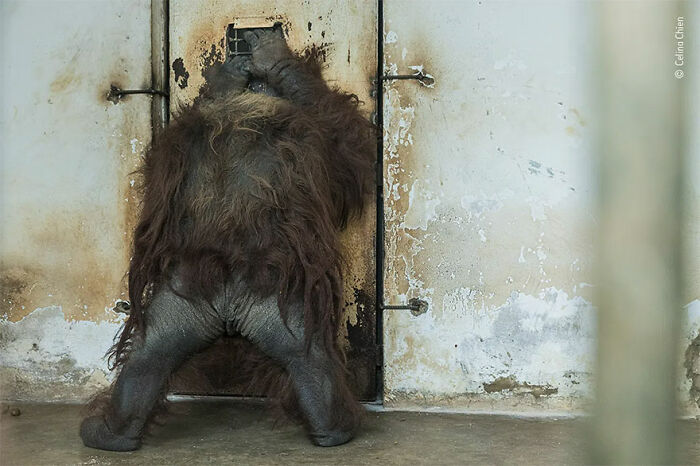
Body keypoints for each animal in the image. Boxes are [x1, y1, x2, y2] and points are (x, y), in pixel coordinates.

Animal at [80, 27, 376, 452]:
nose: (253, 78)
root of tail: (228, 302)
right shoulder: (311, 139)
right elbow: (350, 151)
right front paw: (273, 62)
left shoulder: (172, 147)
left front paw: (233, 76)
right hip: (278, 301)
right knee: (309, 355)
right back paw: (338, 428)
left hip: (185, 302)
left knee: (150, 356)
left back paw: (112, 433)